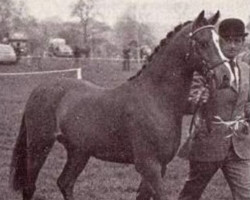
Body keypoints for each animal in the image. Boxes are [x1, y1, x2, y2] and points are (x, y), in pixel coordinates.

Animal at [9, 11, 226, 200]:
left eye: (219, 41)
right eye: (203, 42)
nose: (225, 76)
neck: (156, 98)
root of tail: (40, 89)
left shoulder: (160, 166)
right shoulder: (149, 166)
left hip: (79, 151)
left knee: (65, 183)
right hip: (39, 146)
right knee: (30, 186)